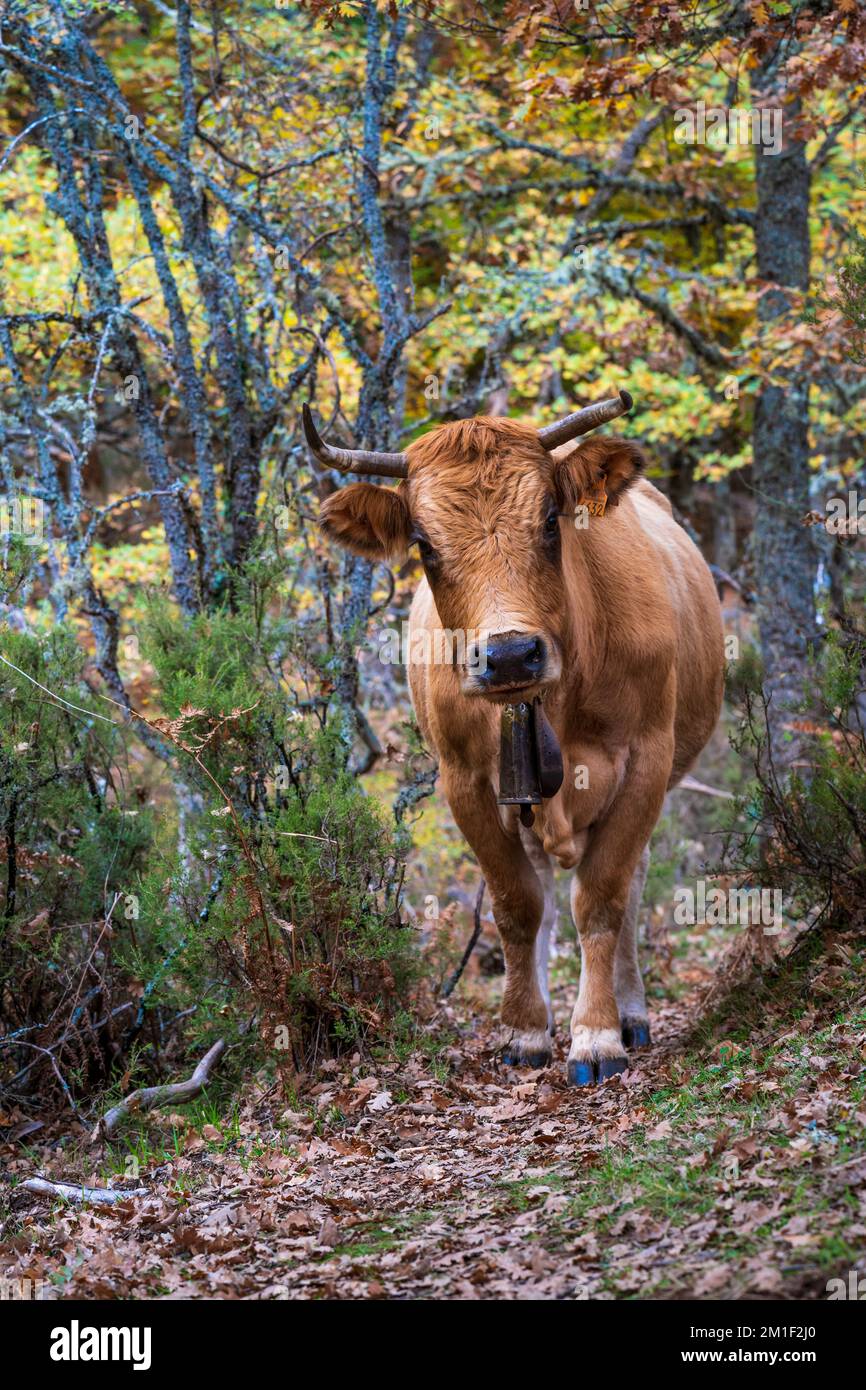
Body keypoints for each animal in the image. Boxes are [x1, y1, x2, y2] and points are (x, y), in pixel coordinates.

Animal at [307, 391, 722, 1084]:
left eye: (552, 521)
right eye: (424, 544)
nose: (507, 656)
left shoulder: (646, 762)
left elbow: (603, 899)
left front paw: (597, 1035)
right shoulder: (467, 783)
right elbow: (517, 905)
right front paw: (526, 1030)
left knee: (629, 886)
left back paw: (631, 1012)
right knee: (546, 893)